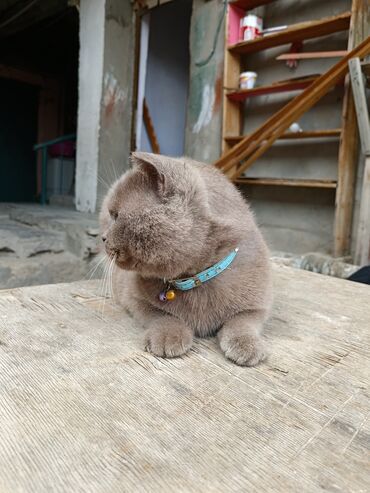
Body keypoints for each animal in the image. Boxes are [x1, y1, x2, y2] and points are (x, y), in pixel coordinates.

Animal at [99, 152, 274, 364]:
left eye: (116, 215)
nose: (103, 237)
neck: (194, 278)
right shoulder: (134, 299)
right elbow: (162, 315)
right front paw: (168, 336)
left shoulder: (258, 304)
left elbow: (242, 321)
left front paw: (247, 345)